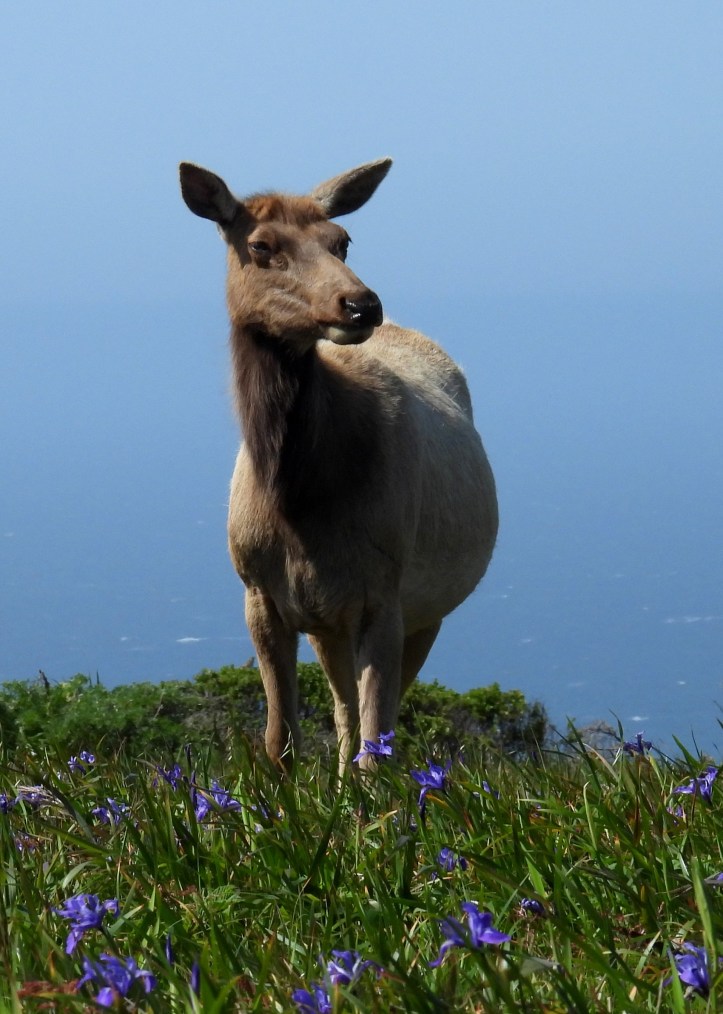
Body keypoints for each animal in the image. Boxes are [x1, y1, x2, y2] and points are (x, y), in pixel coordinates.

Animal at [179, 157, 498, 772]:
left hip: (427, 607)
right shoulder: (258, 592)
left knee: (374, 721)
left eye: (342, 240)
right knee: (344, 711)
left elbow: (379, 749)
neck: (300, 504)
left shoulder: (384, 594)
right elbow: (279, 743)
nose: (361, 304)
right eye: (260, 245)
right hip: (328, 624)